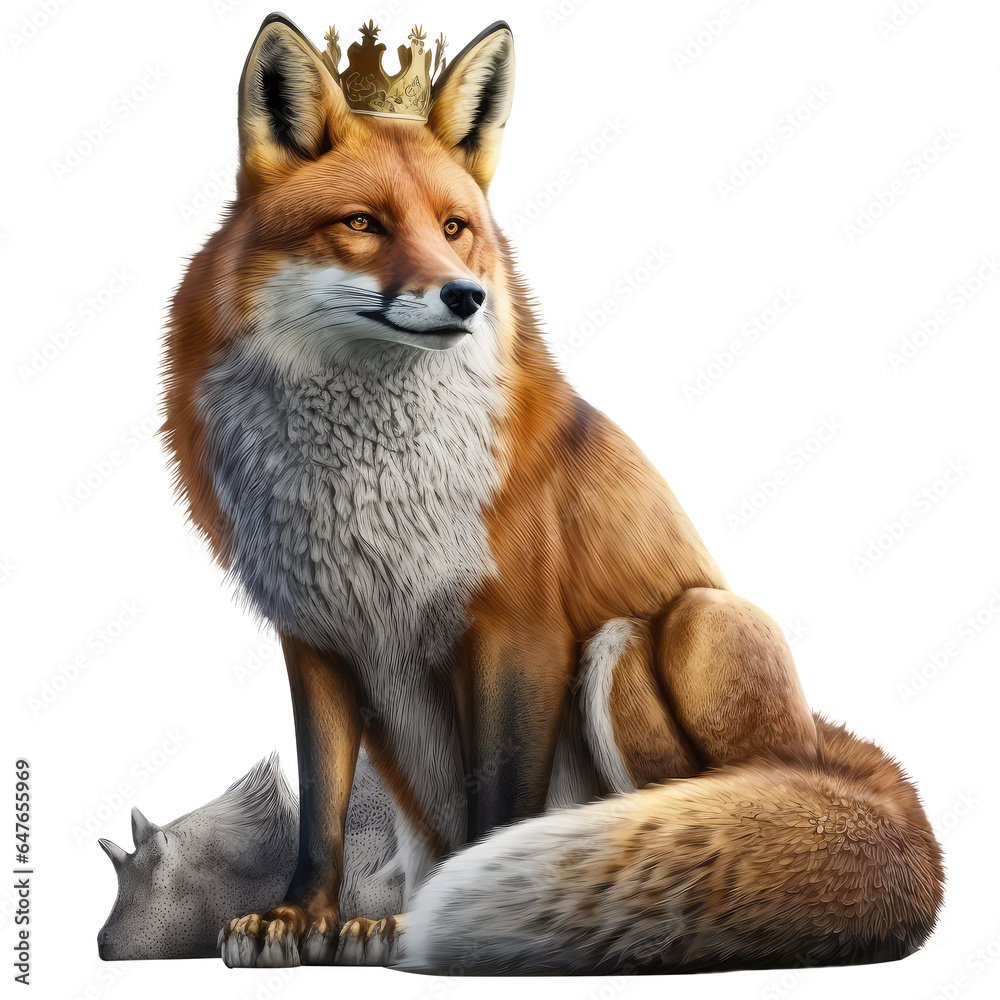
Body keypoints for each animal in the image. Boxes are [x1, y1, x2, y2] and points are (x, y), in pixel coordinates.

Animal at [161, 13, 945, 973]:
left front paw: (457, 925)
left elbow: (499, 800)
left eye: (455, 226)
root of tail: (824, 755)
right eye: (362, 224)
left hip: (671, 629)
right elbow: (321, 807)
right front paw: (300, 916)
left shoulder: (519, 629)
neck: (365, 490)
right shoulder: (316, 639)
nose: (466, 296)